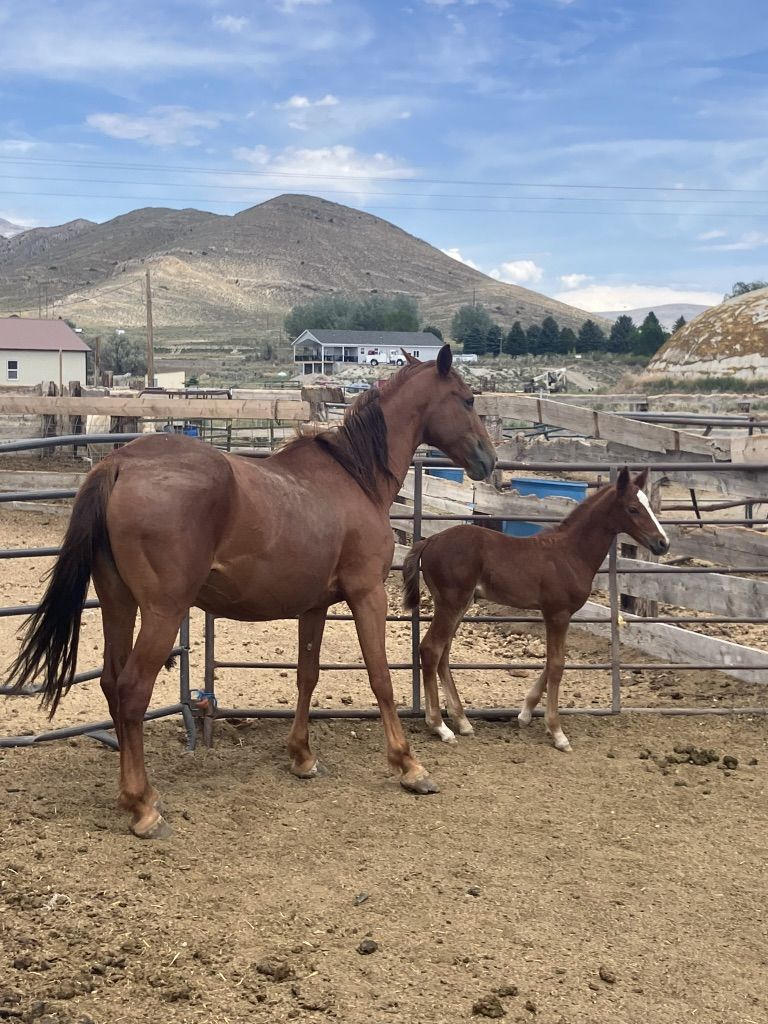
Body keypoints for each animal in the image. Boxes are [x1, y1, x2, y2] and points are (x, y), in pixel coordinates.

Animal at [6, 345, 496, 838]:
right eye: (468, 399)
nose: (489, 460)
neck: (354, 478)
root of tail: (119, 464)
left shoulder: (315, 607)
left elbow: (307, 675)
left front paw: (302, 756)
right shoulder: (367, 594)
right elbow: (381, 678)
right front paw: (408, 765)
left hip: (118, 603)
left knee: (110, 681)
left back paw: (136, 795)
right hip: (163, 611)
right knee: (131, 691)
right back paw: (143, 806)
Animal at [402, 468, 669, 753]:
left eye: (648, 505)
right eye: (633, 508)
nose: (663, 543)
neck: (571, 553)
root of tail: (431, 540)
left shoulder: (554, 614)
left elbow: (552, 662)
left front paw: (526, 713)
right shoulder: (558, 613)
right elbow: (557, 664)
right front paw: (557, 732)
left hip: (459, 604)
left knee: (443, 653)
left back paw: (462, 721)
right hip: (451, 603)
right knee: (431, 649)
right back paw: (439, 726)